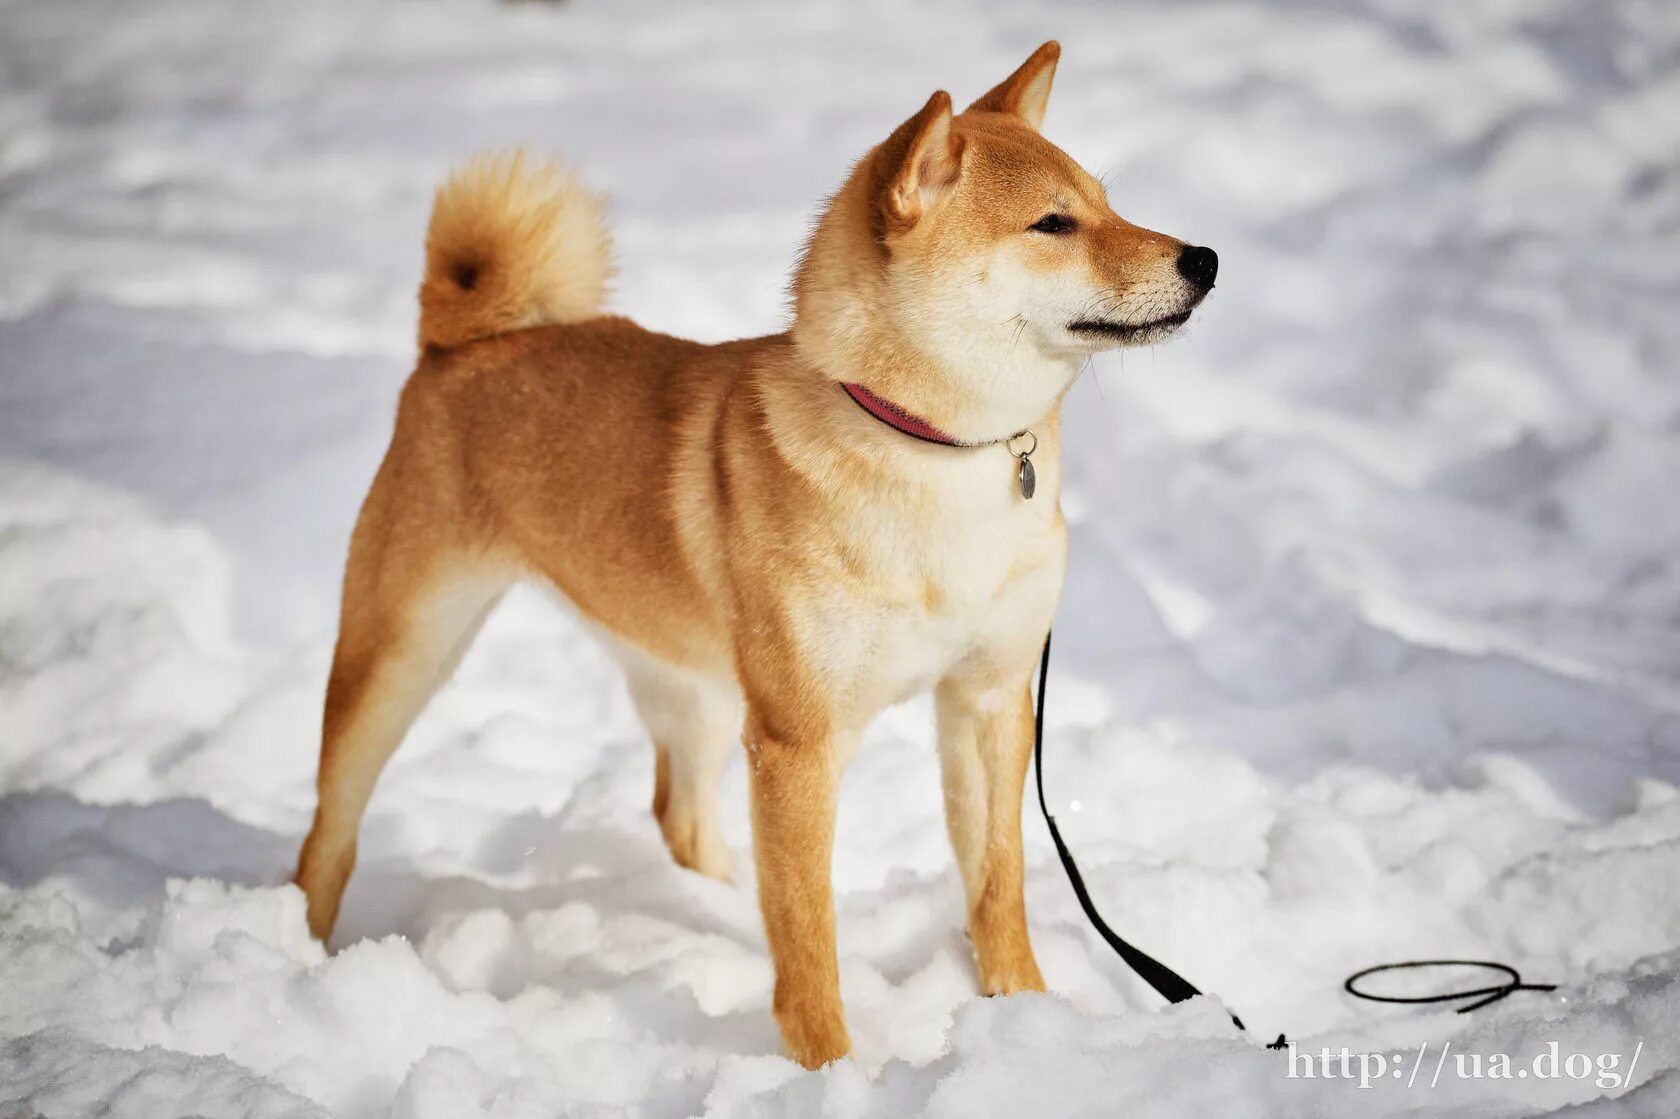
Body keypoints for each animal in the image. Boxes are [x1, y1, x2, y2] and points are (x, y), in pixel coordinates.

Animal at [295, 41, 1216, 1061]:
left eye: (1106, 201)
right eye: (1053, 223)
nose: (1206, 258)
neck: (936, 452)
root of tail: (460, 343)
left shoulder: (989, 699)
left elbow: (997, 883)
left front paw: (1026, 1015)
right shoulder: (798, 743)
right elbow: (809, 932)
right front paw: (830, 1068)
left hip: (687, 678)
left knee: (680, 812)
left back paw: (711, 904)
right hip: (402, 652)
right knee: (328, 834)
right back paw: (295, 948)